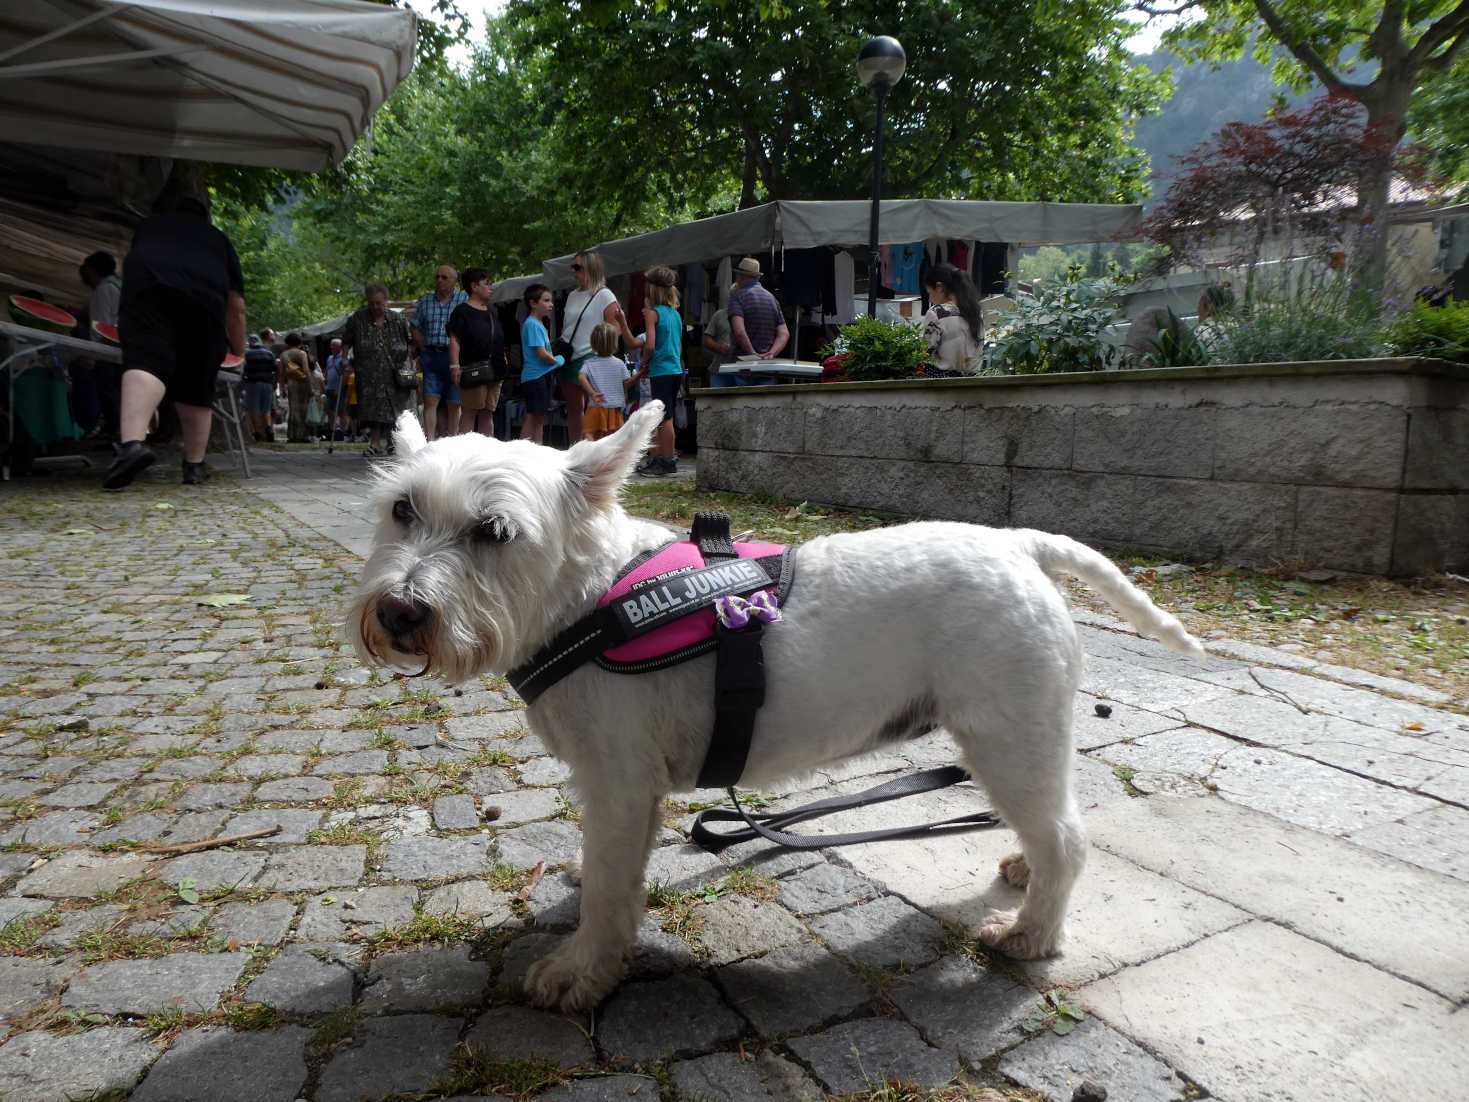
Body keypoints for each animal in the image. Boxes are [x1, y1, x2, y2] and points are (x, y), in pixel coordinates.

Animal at [349, 402, 1198, 1010]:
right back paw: (1022, 871)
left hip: (1009, 735)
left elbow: (611, 884)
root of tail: (1022, 545)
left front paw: (581, 969)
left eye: (493, 531)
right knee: (1047, 827)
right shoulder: (628, 788)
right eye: (400, 510)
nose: (399, 613)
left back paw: (1029, 935)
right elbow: (614, 871)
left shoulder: (617, 780)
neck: (584, 600)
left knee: (1066, 838)